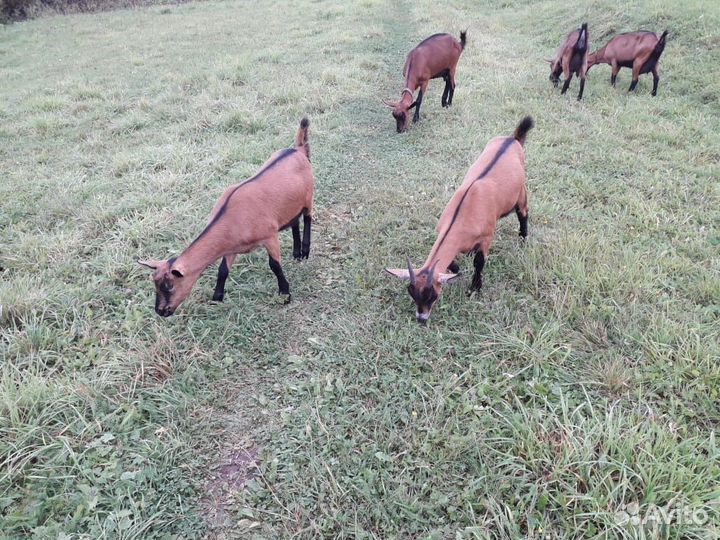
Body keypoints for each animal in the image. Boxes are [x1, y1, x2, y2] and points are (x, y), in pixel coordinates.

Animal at [138, 118, 313, 317]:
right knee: (294, 221)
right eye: (155, 284)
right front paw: (217, 298)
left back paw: (305, 251)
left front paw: (285, 294)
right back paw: (297, 253)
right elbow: (222, 270)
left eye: (169, 286)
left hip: (309, 194)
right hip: (291, 203)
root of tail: (297, 150)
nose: (160, 311)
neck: (232, 217)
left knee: (308, 217)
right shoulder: (232, 246)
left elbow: (274, 265)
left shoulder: (270, 236)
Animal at [386, 116, 533, 324]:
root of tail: (513, 139)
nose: (421, 318)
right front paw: (457, 270)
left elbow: (479, 263)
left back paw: (523, 239)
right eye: (412, 293)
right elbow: (452, 262)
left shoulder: (486, 237)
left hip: (521, 192)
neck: (461, 219)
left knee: (523, 213)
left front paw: (474, 289)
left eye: (433, 295)